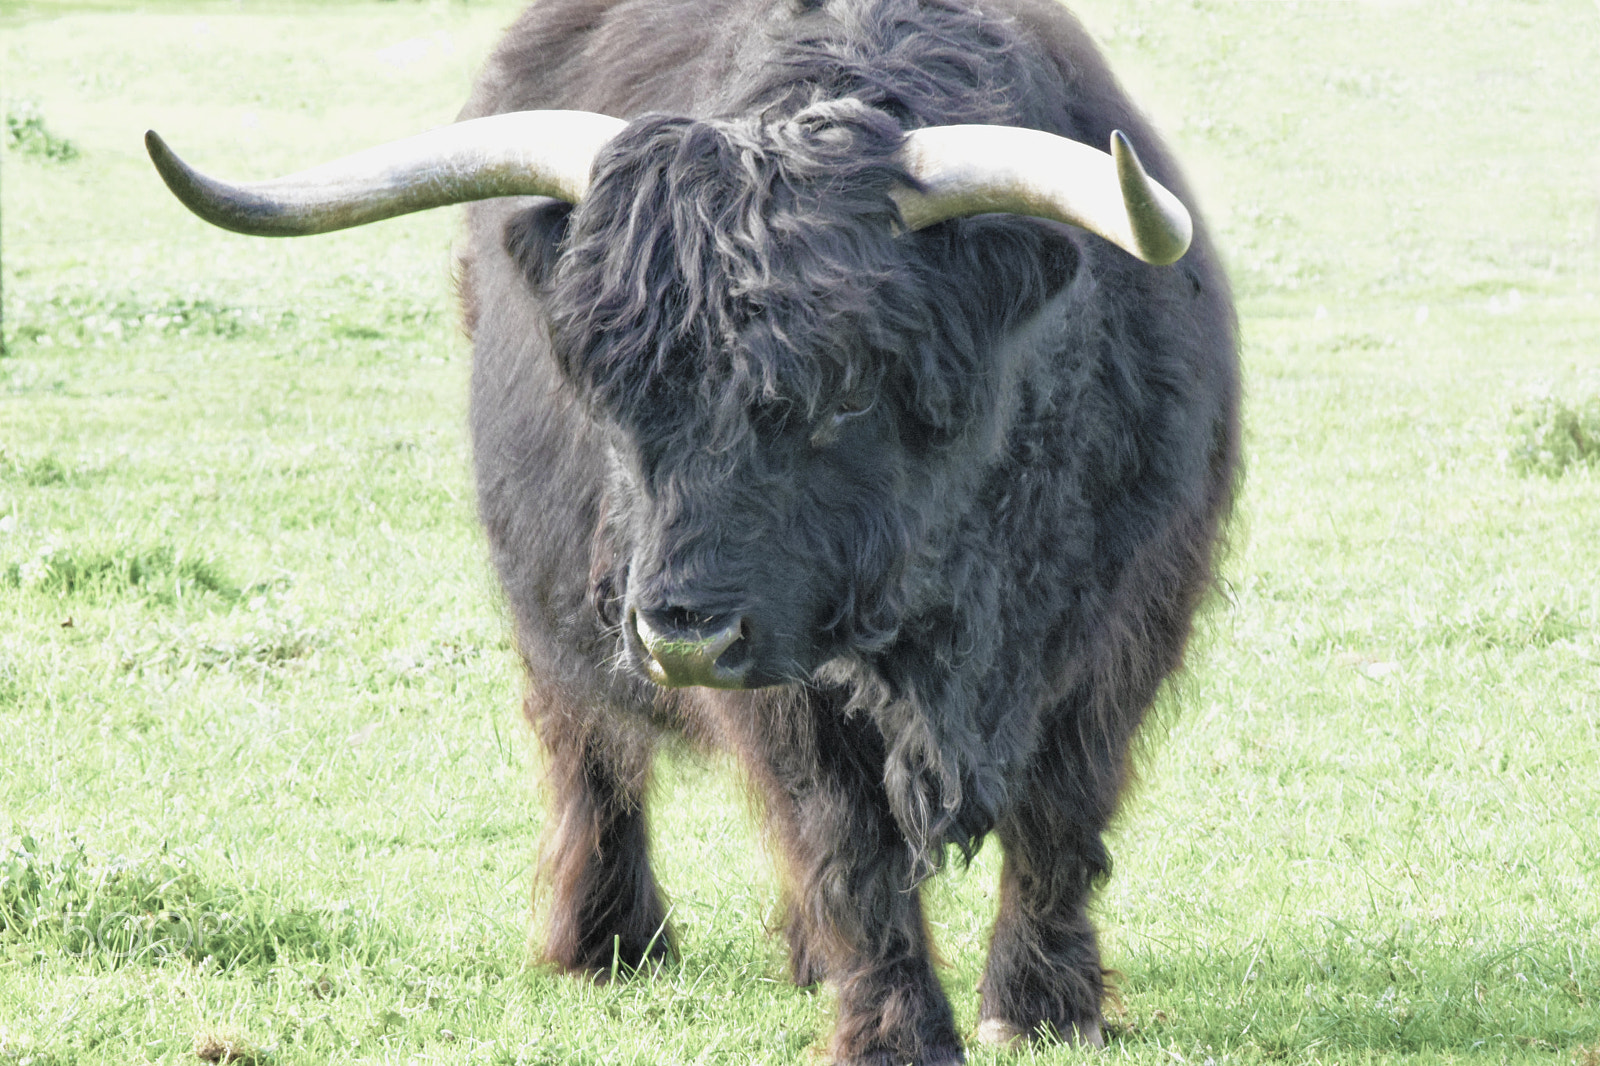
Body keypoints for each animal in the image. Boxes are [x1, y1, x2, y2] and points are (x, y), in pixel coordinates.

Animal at [147, 0, 1240, 1061]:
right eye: (614, 396)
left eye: (849, 393)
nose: (684, 634)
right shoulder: (783, 678)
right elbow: (844, 842)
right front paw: (894, 1033)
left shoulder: (1118, 624)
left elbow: (1061, 815)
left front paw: (1042, 1007)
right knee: (589, 750)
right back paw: (610, 940)